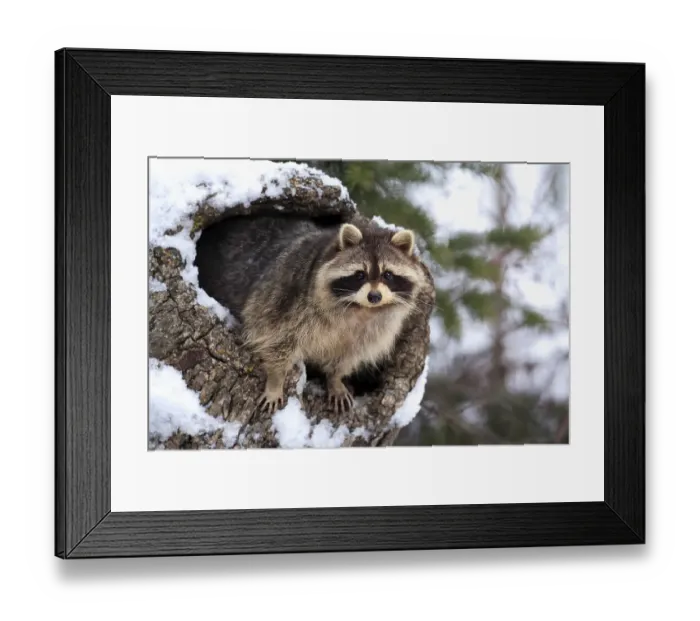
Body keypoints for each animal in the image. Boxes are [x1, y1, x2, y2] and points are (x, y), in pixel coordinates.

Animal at [194, 214, 428, 415]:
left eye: (388, 275)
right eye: (360, 275)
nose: (374, 296)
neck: (359, 309)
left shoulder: (377, 328)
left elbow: (350, 354)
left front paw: (335, 378)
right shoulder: (287, 297)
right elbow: (274, 337)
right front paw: (276, 381)